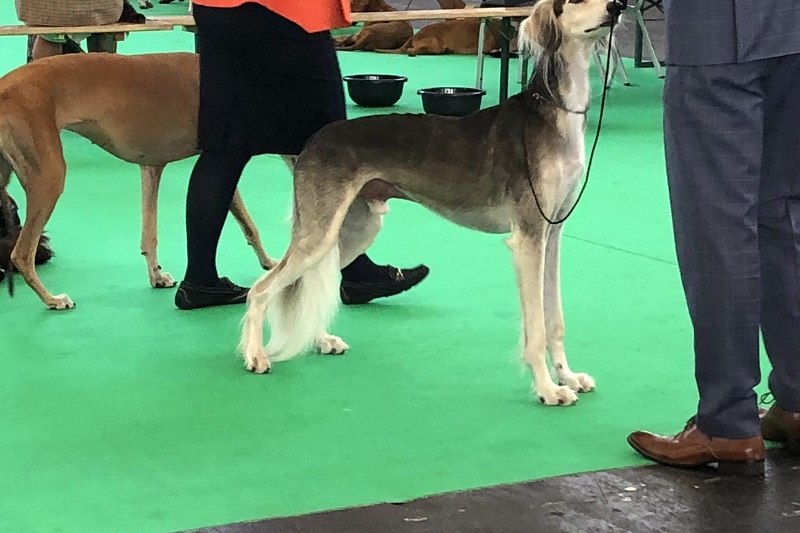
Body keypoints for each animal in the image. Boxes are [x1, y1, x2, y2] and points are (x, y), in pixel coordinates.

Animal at [0, 52, 276, 310]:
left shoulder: (151, 166)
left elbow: (149, 235)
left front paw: (157, 276)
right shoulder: (222, 163)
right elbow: (249, 225)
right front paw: (271, 264)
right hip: (48, 179)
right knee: (21, 254)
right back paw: (52, 299)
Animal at [237, 0, 623, 407]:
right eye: (576, 1)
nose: (617, 7)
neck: (554, 112)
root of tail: (313, 140)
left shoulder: (552, 233)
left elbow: (555, 321)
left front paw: (569, 376)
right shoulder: (528, 239)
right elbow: (535, 328)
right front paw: (548, 389)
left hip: (353, 230)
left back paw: (321, 339)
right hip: (319, 233)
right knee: (261, 288)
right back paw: (255, 355)